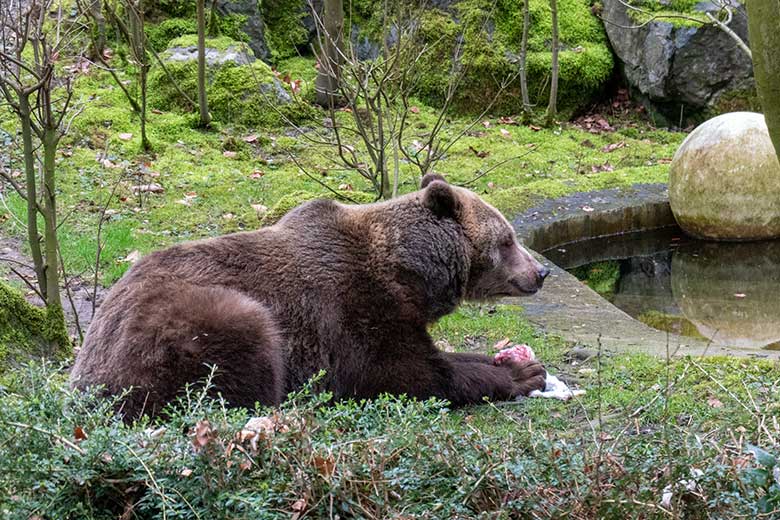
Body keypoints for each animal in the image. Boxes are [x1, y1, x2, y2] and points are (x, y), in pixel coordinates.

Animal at [71, 175, 548, 418]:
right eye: (508, 239)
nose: (541, 271)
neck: (408, 275)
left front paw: (517, 361)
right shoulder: (352, 307)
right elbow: (403, 372)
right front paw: (520, 375)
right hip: (182, 327)